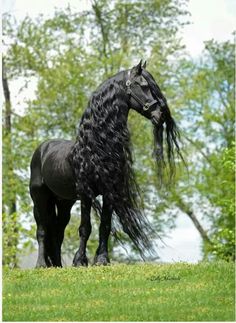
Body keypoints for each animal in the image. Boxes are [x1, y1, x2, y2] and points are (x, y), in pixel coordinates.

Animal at [28, 60, 182, 268]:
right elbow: (85, 227)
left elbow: (105, 226)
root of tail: (42, 149)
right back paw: (41, 265)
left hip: (64, 202)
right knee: (42, 230)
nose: (161, 115)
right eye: (142, 85)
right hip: (40, 198)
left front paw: (102, 260)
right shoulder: (86, 194)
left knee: (58, 232)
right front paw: (80, 261)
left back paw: (58, 266)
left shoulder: (109, 193)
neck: (97, 145)